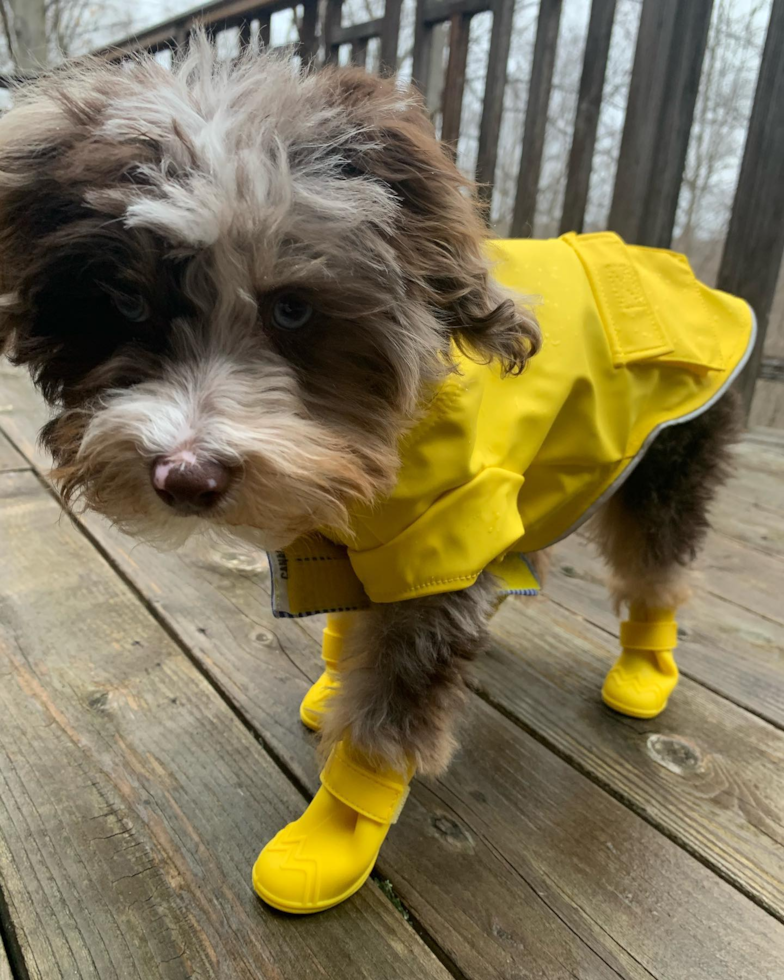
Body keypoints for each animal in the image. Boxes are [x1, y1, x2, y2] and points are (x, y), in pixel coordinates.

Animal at [0, 38, 752, 912]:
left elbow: (390, 710)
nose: (184, 478)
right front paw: (333, 688)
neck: (381, 443)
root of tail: (668, 263)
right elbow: (347, 624)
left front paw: (334, 833)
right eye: (126, 303)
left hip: (667, 462)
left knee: (655, 568)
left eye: (293, 309)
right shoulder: (351, 530)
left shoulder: (439, 541)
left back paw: (642, 671)